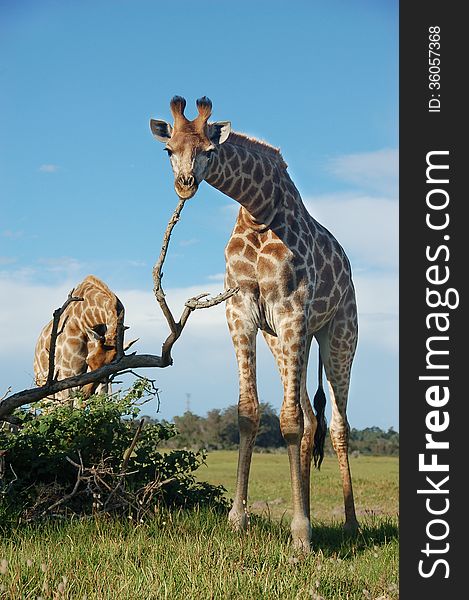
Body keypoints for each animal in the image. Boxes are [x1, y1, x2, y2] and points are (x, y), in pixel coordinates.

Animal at [33, 276, 132, 406]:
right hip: (44, 385)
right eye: (88, 361)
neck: (86, 319)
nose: (85, 393)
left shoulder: (102, 383)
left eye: (109, 367)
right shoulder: (66, 375)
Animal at [150, 96, 358, 552]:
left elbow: (289, 421)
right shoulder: (242, 310)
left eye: (210, 151)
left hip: (339, 334)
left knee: (337, 424)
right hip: (285, 340)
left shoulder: (292, 308)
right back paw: (310, 509)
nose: (185, 184)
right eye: (168, 150)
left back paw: (350, 524)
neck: (259, 210)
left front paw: (300, 537)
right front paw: (238, 520)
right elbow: (250, 413)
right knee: (312, 420)